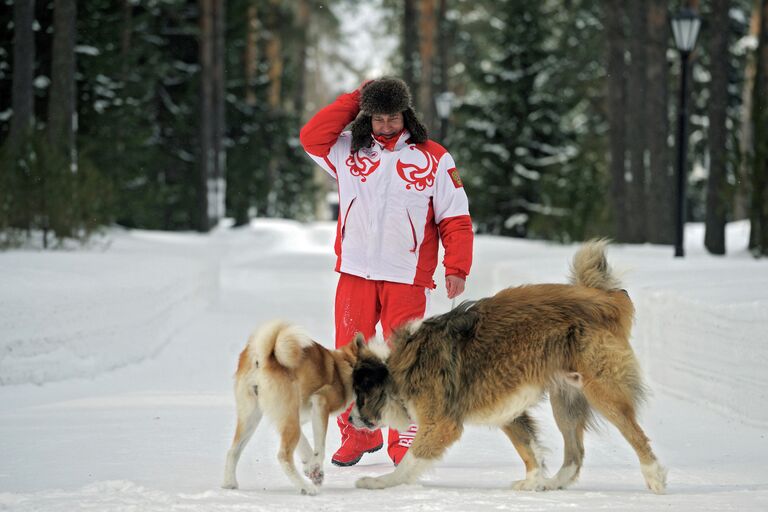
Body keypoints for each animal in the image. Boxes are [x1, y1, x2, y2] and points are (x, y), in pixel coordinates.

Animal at [222, 322, 360, 494]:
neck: (345, 365)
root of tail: (263, 357)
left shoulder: (294, 418)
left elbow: (305, 444)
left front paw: (312, 468)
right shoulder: (320, 403)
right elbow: (319, 447)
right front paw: (315, 467)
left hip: (253, 418)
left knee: (233, 451)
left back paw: (229, 483)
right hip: (287, 417)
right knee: (283, 456)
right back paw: (305, 488)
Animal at [348, 242, 664, 494]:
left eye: (360, 396)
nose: (350, 419)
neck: (395, 367)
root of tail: (605, 300)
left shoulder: (441, 423)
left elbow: (411, 459)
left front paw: (380, 482)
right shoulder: (508, 412)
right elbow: (529, 448)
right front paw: (533, 481)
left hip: (601, 389)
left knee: (634, 433)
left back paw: (655, 476)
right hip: (565, 399)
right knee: (575, 453)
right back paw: (554, 483)